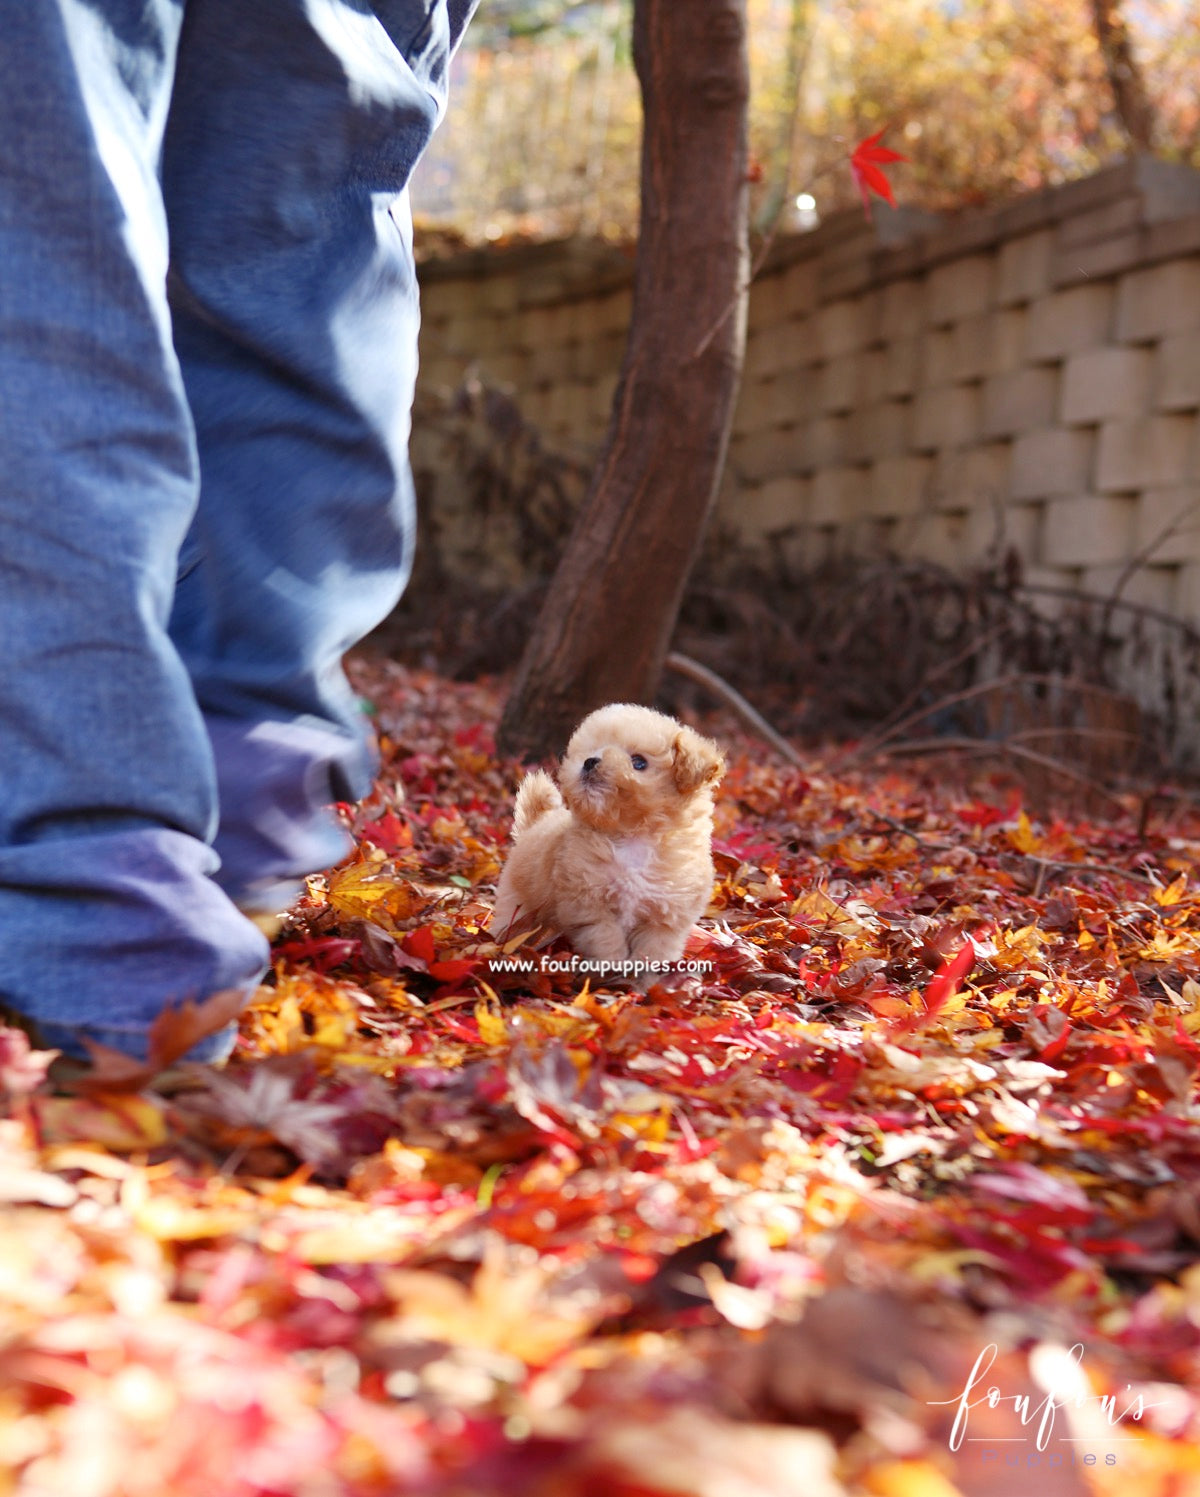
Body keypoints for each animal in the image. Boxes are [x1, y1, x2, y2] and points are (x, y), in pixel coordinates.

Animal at [487, 703, 721, 970]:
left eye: (639, 762)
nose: (590, 761)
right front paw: (612, 967)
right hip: (518, 899)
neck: (634, 837)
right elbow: (606, 938)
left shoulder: (664, 917)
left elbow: (654, 951)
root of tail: (535, 825)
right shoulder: (588, 904)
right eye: (591, 750)